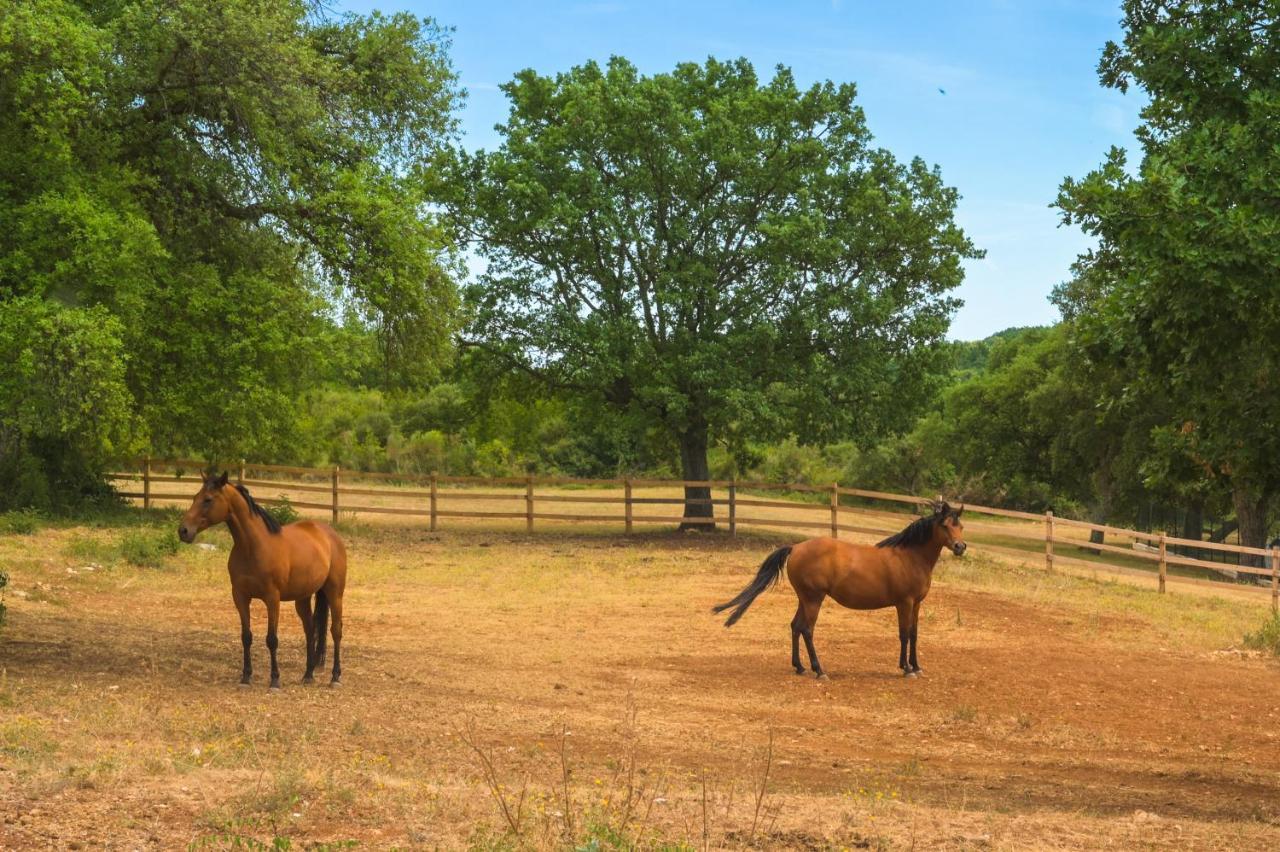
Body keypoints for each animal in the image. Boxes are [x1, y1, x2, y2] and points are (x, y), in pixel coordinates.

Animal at [179, 470, 350, 690]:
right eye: (195, 497)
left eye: (208, 500)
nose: (183, 531)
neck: (253, 546)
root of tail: (329, 534)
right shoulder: (240, 597)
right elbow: (246, 637)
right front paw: (246, 677)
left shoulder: (272, 598)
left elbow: (272, 639)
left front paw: (275, 680)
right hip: (303, 598)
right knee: (310, 629)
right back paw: (308, 674)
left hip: (335, 593)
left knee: (336, 630)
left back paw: (335, 677)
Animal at [711, 498, 967, 675]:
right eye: (945, 525)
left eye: (961, 526)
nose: (960, 547)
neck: (909, 556)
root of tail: (795, 547)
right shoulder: (904, 603)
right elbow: (903, 634)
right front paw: (905, 668)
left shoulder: (916, 604)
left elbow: (914, 634)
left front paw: (916, 666)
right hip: (814, 599)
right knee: (806, 629)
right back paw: (819, 670)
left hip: (804, 599)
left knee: (795, 626)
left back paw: (800, 667)